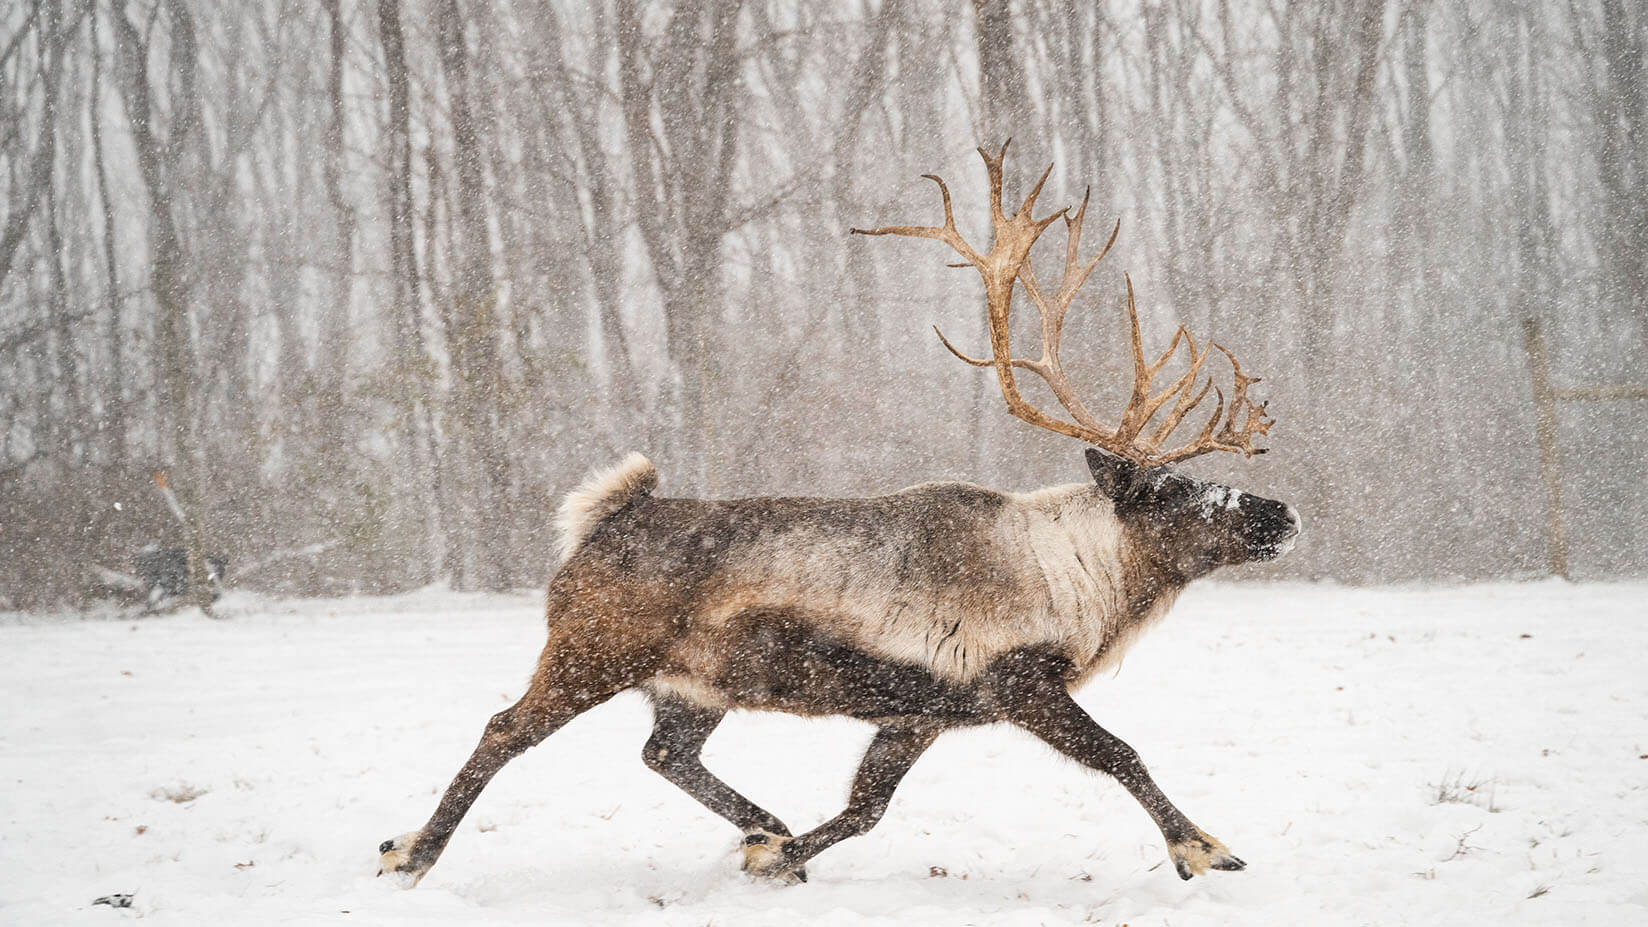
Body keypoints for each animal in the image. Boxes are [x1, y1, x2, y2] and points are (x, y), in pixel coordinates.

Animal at [377, 141, 1299, 888]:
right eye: (1171, 491)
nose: (1282, 513)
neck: (1084, 576)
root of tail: (600, 518)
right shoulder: (1017, 680)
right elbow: (1120, 751)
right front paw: (1204, 846)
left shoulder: (919, 709)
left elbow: (866, 807)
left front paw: (777, 856)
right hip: (590, 651)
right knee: (504, 728)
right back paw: (411, 851)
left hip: (693, 683)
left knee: (662, 750)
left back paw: (763, 825)